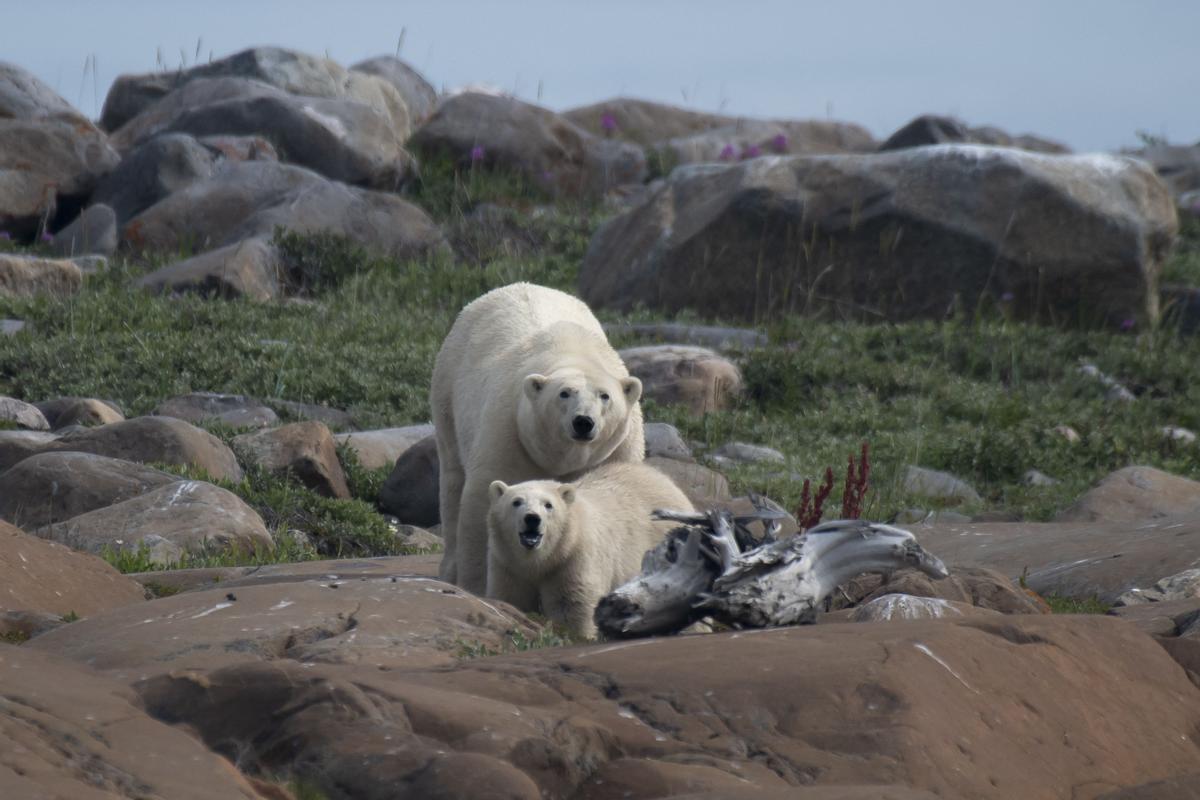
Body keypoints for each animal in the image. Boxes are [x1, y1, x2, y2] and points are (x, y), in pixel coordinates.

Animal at [434, 283, 648, 594]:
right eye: (564, 393)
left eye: (605, 396)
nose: (583, 422)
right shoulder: (509, 430)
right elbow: (484, 501)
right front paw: (478, 587)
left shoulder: (619, 447)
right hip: (448, 390)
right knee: (452, 478)